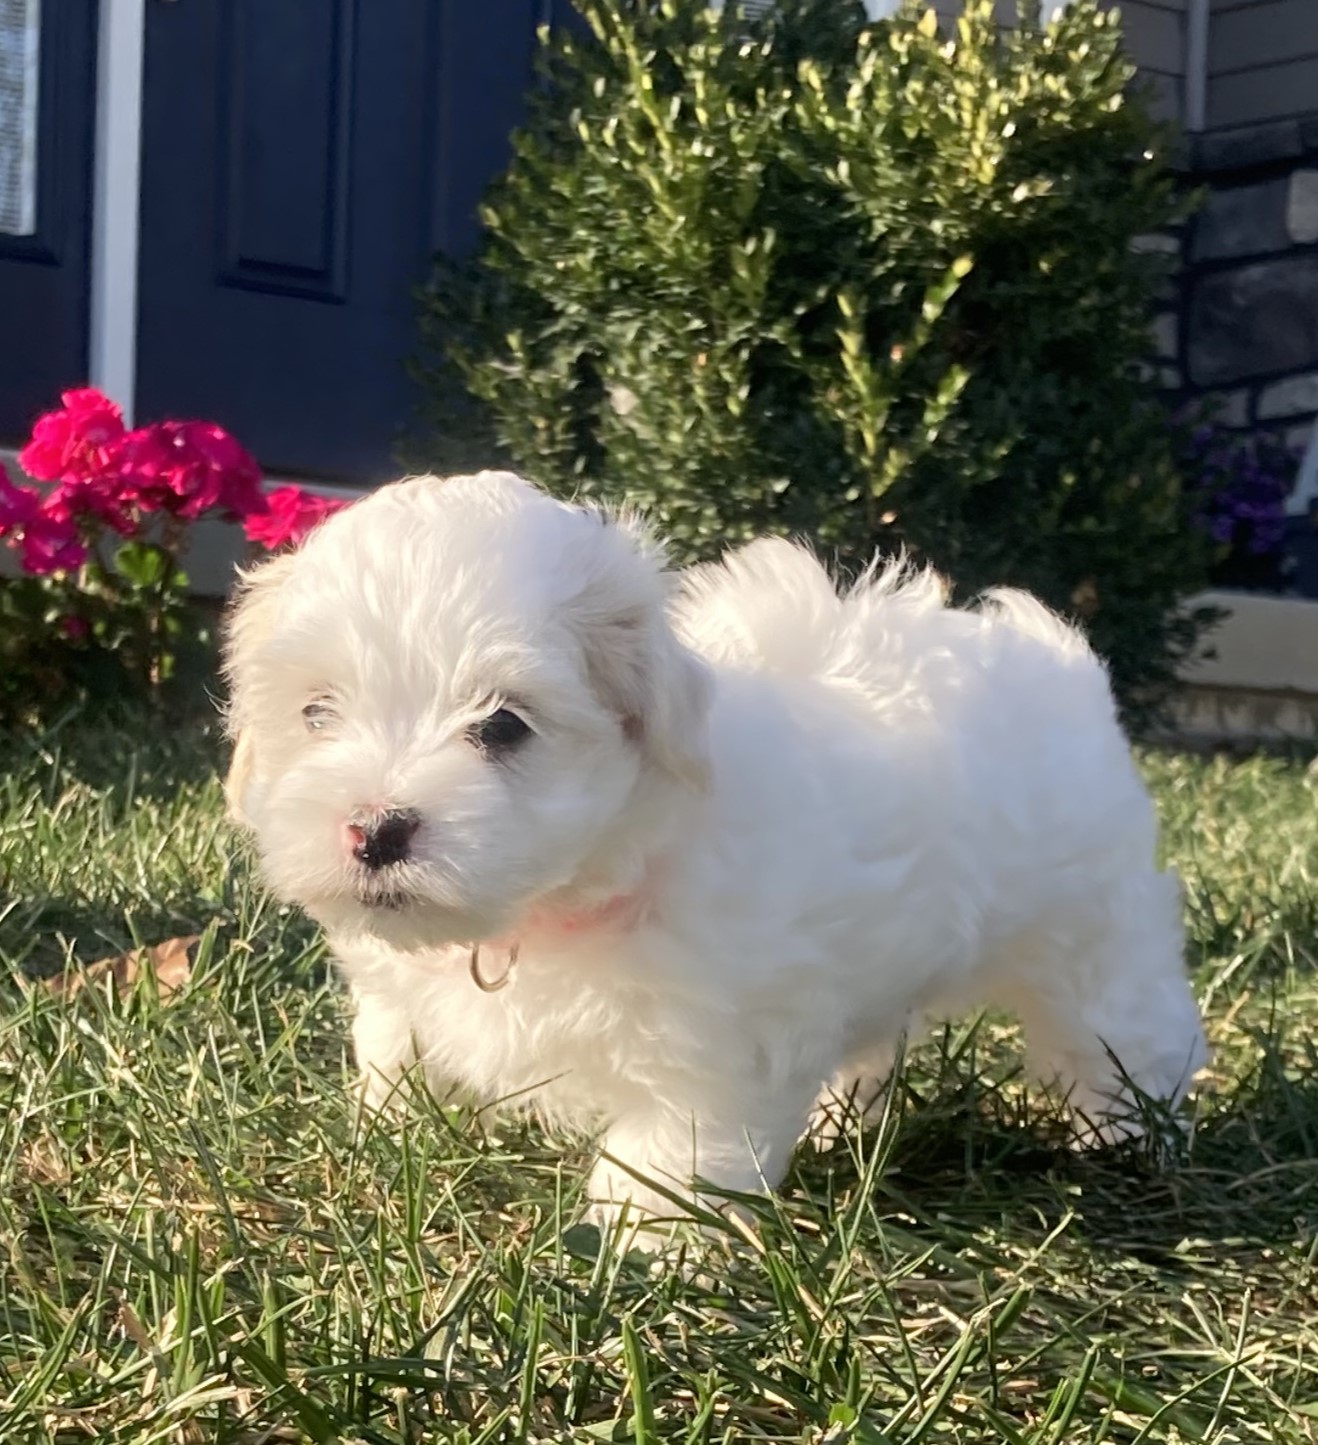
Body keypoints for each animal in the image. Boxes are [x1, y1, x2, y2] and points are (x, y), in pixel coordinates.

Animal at [224, 471, 1202, 1231]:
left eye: (503, 726)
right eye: (316, 711)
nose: (374, 828)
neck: (547, 911)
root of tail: (1042, 646)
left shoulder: (708, 1042)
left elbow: (670, 1143)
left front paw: (640, 1248)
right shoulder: (398, 993)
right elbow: (394, 1046)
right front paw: (391, 1129)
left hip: (1092, 931)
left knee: (1126, 1024)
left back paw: (1132, 1134)